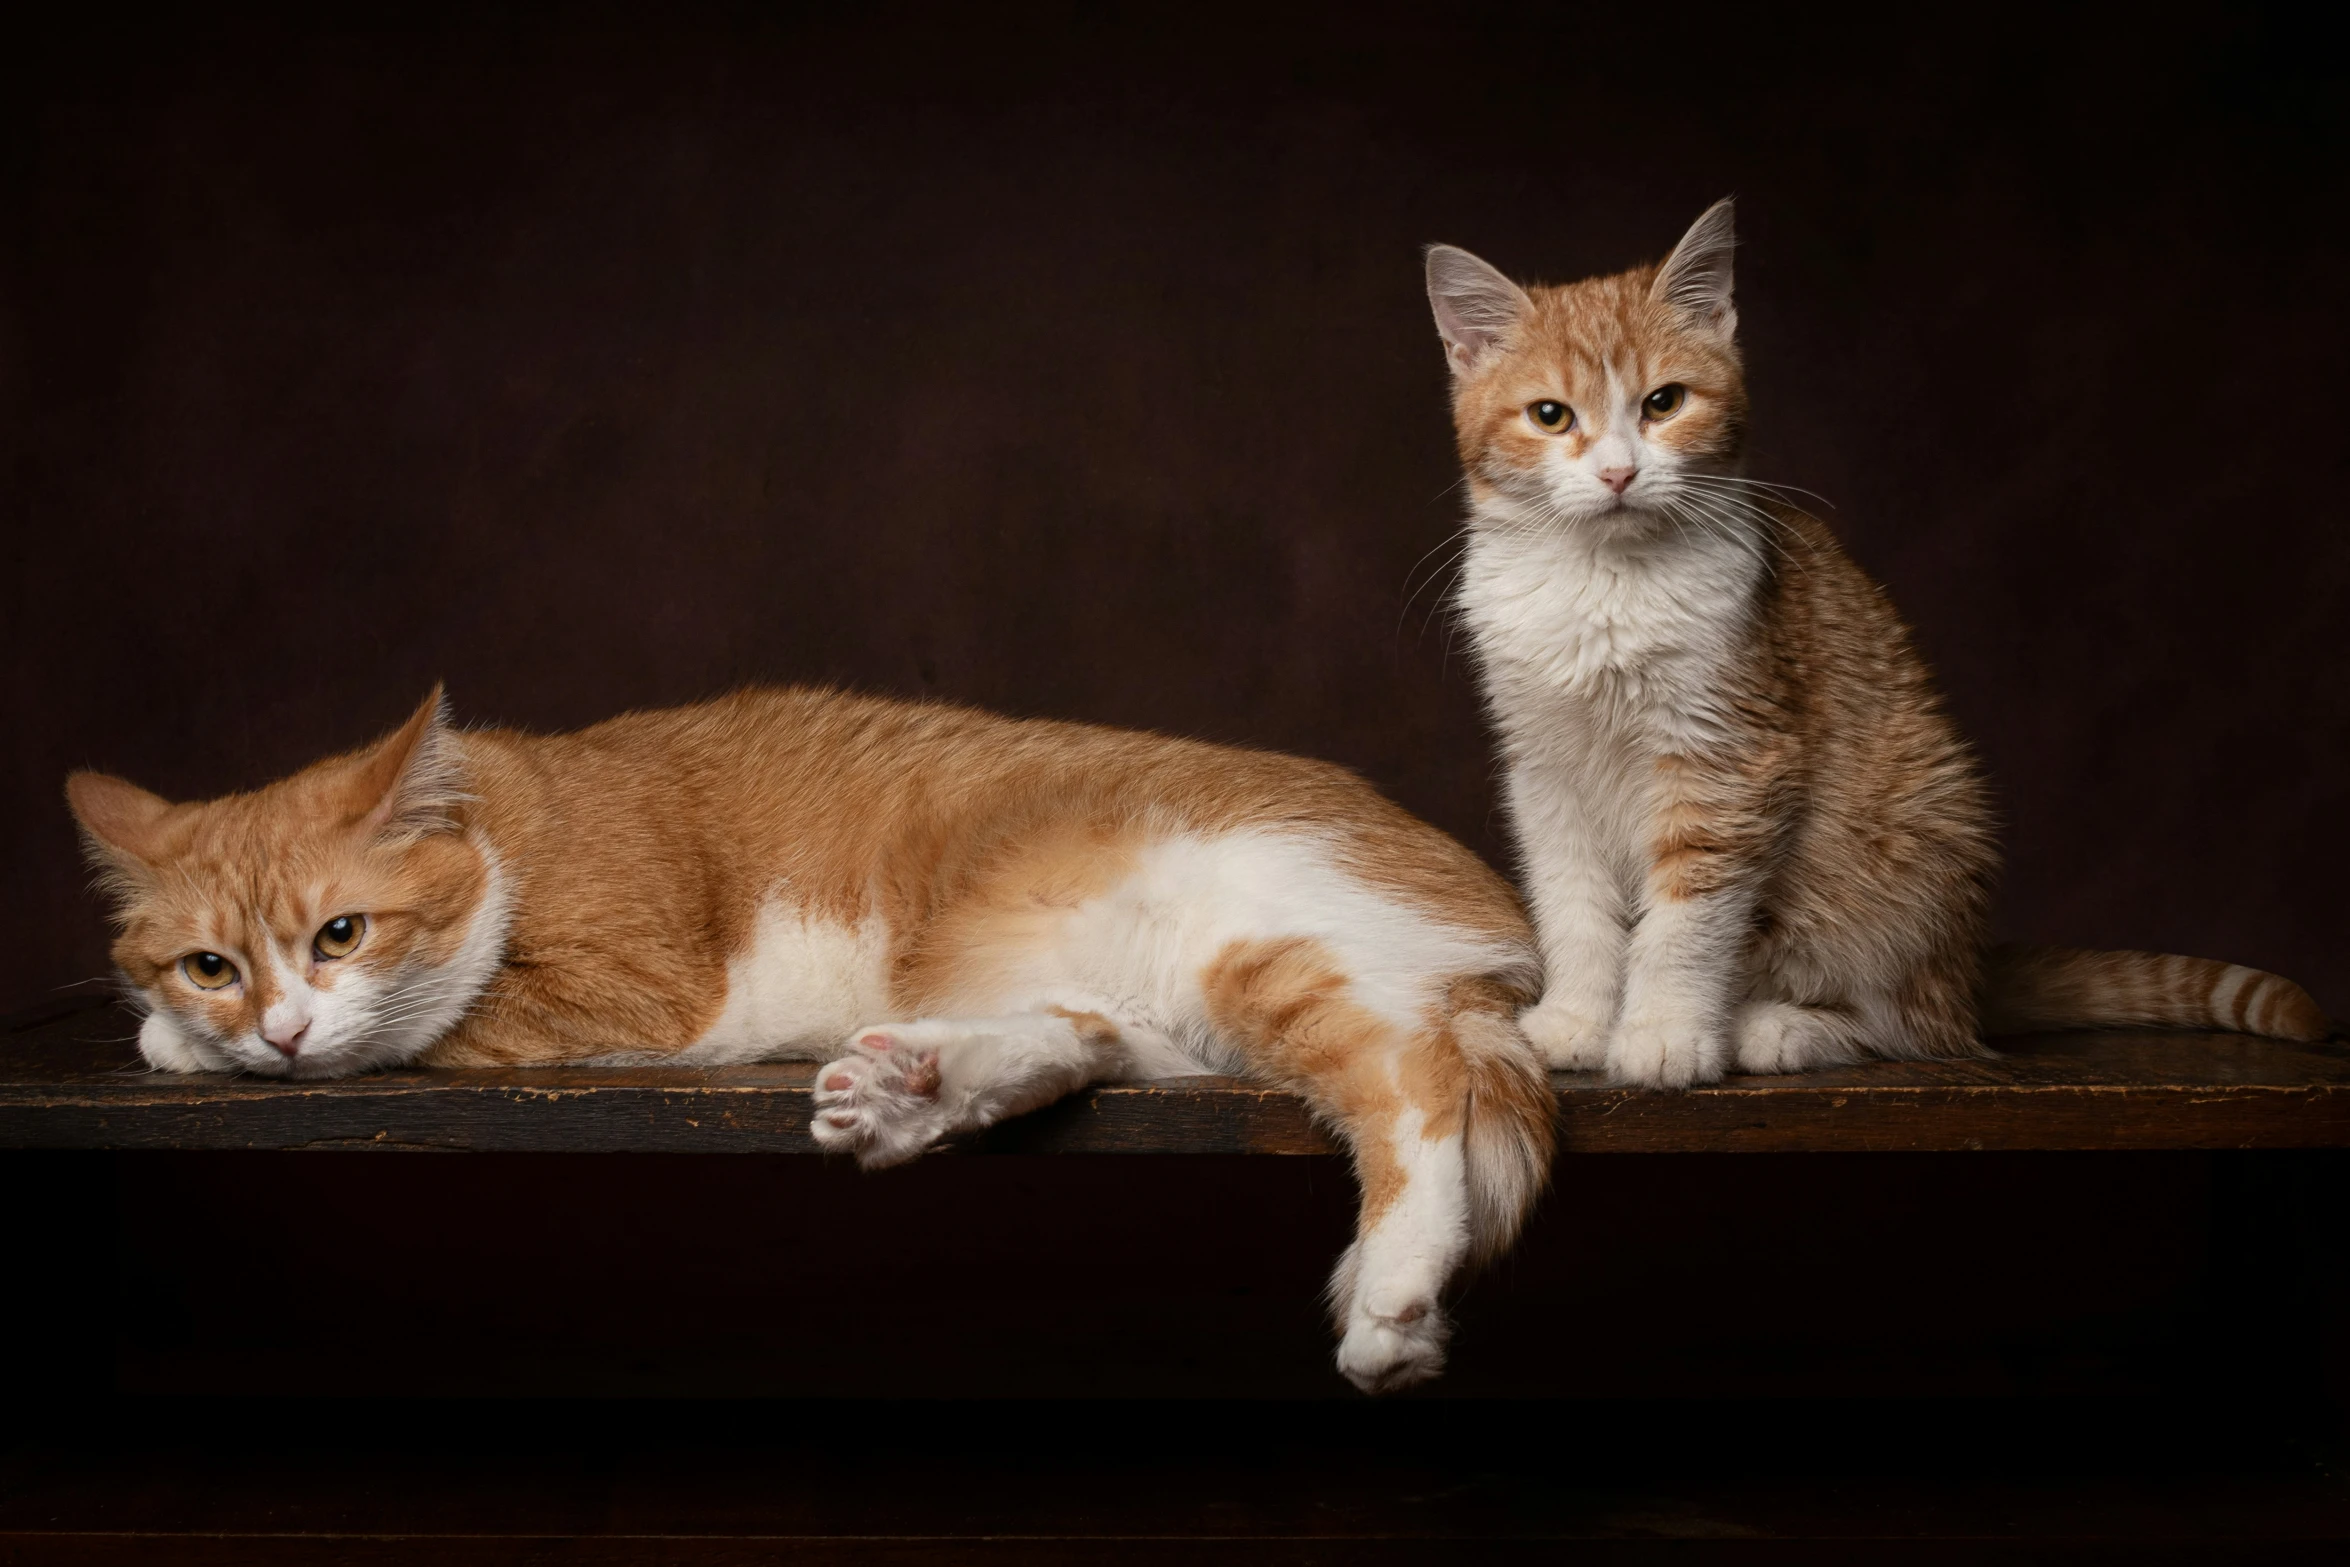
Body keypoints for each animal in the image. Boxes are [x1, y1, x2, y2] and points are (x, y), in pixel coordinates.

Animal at [64, 686, 1550, 1400]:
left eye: (340, 933)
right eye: (211, 960)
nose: (276, 1026)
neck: (508, 819)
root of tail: (1493, 908)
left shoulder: (632, 990)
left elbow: (431, 1019)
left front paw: (189, 1047)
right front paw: (194, 1033)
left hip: (1251, 940)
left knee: (1412, 1076)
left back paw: (1394, 1294)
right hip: (1121, 992)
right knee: (1086, 1039)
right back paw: (916, 1088)